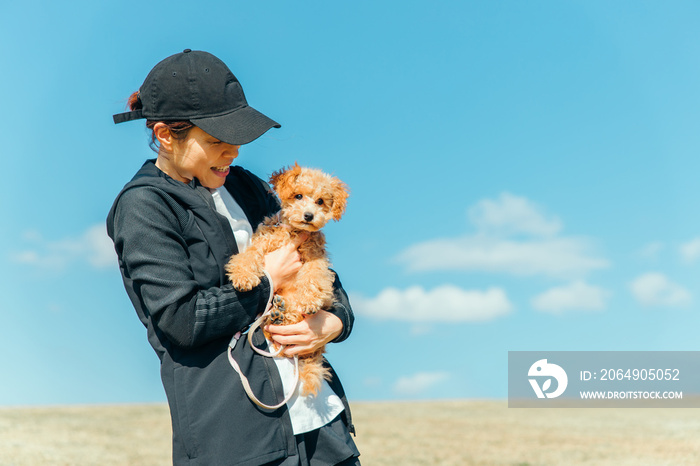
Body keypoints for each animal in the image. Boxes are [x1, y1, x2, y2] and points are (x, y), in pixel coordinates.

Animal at [227, 164, 350, 396]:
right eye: (298, 195)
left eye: (320, 201)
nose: (309, 215)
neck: (293, 231)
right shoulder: (262, 243)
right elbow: (248, 256)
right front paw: (242, 276)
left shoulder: (315, 259)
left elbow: (313, 276)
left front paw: (309, 300)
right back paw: (277, 313)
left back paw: (280, 313)